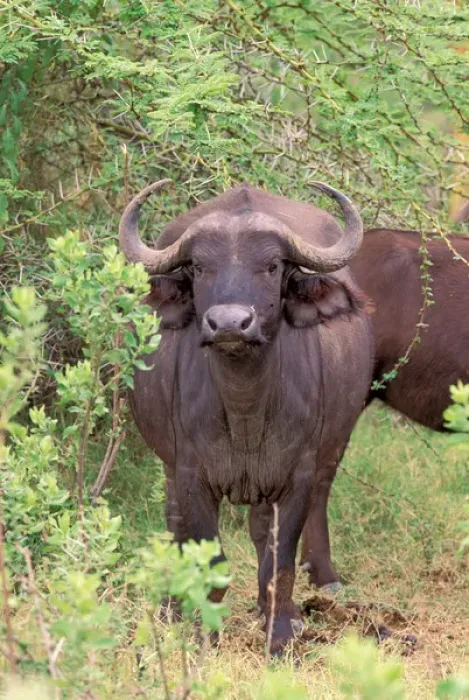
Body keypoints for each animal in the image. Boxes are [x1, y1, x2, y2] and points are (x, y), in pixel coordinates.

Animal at [119, 180, 373, 653]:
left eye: (272, 266)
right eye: (200, 267)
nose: (229, 324)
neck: (245, 412)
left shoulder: (297, 477)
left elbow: (279, 562)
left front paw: (281, 634)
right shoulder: (191, 475)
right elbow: (208, 556)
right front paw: (202, 630)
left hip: (330, 451)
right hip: (169, 468)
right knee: (175, 524)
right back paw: (171, 607)